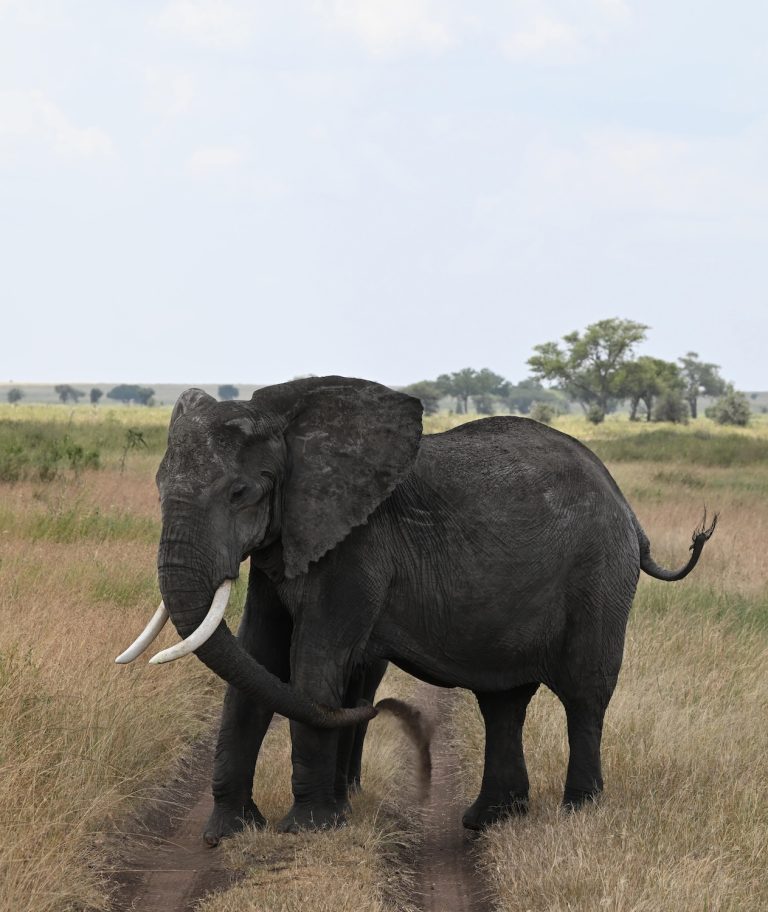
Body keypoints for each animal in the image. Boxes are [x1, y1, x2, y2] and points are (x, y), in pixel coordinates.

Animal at [116, 376, 716, 844]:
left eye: (242, 492)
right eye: (158, 487)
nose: (390, 712)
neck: (289, 421)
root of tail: (627, 508)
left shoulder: (358, 544)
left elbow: (313, 665)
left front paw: (308, 830)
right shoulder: (286, 540)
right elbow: (256, 662)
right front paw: (228, 834)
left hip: (600, 575)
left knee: (585, 694)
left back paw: (577, 814)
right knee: (503, 701)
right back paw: (490, 821)